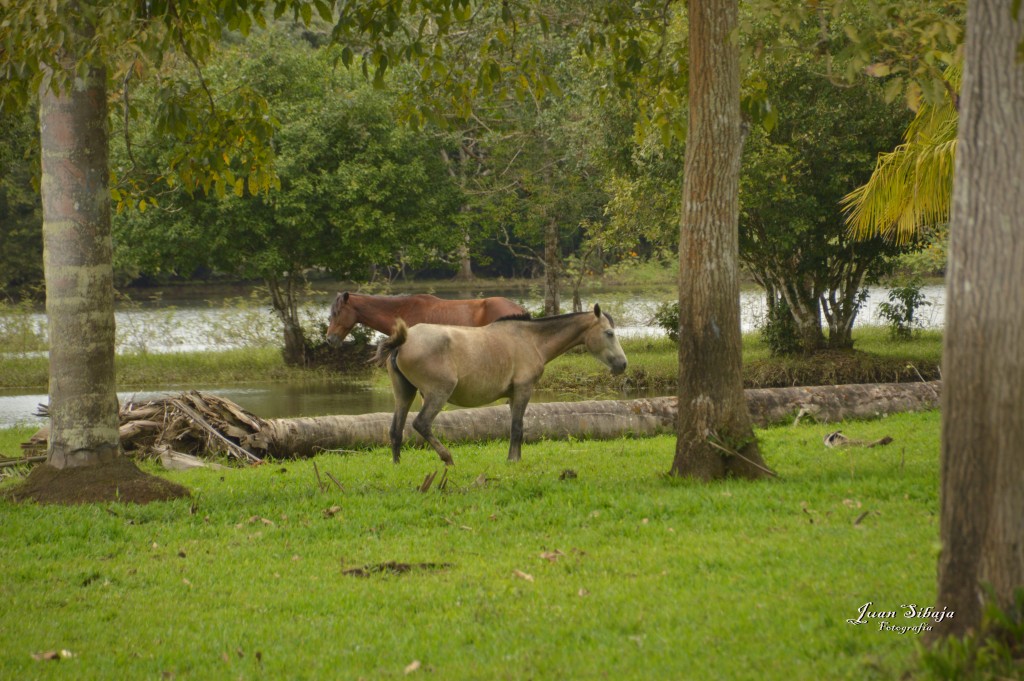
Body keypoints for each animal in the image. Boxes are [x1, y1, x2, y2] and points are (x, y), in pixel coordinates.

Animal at [372, 305, 622, 464]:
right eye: (609, 333)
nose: (622, 364)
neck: (531, 340)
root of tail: (402, 342)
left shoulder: (513, 395)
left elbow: (516, 427)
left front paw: (515, 458)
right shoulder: (523, 390)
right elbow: (517, 427)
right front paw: (513, 461)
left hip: (404, 393)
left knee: (395, 430)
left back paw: (397, 465)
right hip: (437, 394)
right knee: (421, 424)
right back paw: (448, 458)